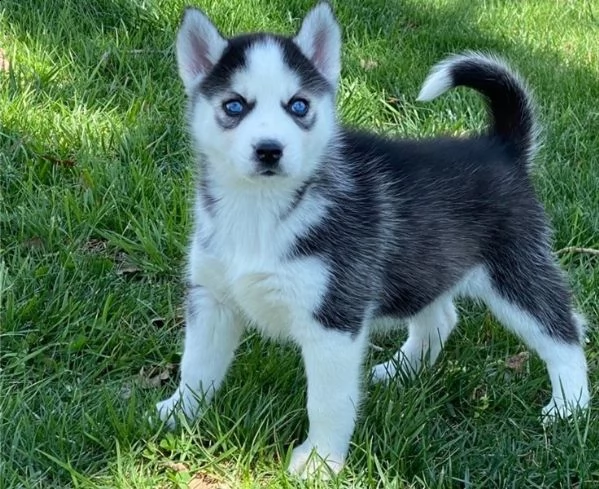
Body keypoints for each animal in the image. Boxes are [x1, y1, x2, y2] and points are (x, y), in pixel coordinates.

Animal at [157, 1, 592, 476]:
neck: (260, 210)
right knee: (441, 318)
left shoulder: (334, 319)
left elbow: (327, 402)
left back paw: (569, 406)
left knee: (563, 330)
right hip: (424, 262)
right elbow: (197, 365)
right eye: (234, 106)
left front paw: (320, 462)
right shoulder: (211, 298)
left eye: (298, 106)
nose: (269, 149)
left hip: (514, 271)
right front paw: (179, 413)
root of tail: (500, 146)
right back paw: (401, 371)